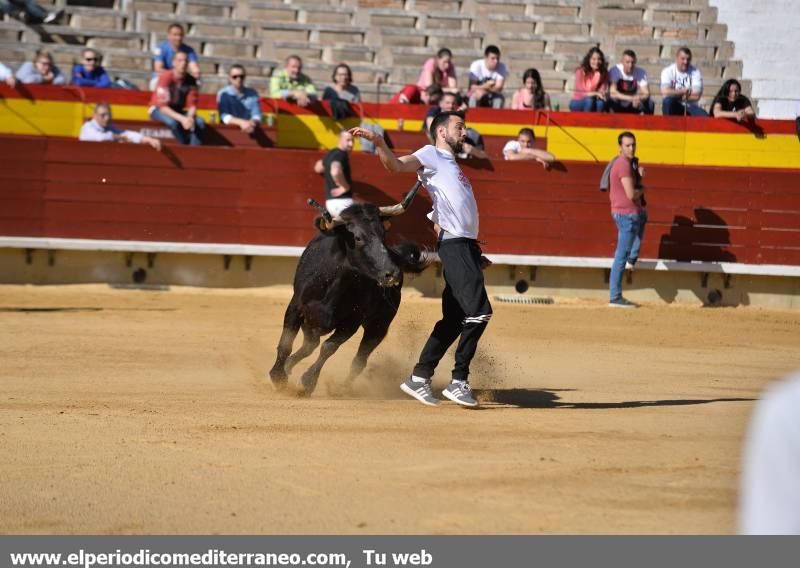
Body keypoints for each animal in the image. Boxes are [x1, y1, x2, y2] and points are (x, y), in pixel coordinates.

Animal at [268, 186, 432, 394]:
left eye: (383, 235)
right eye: (358, 237)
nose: (392, 274)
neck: (335, 283)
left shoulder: (352, 321)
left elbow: (329, 347)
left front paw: (307, 382)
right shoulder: (296, 306)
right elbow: (286, 342)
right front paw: (277, 375)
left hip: (379, 326)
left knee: (358, 360)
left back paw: (342, 388)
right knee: (310, 344)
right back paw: (288, 366)